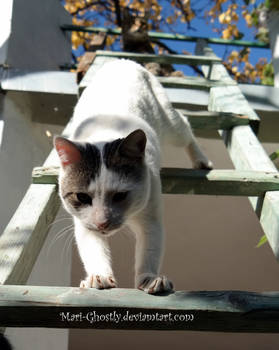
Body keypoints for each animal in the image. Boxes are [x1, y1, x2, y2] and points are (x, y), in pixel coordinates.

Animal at [54, 58, 212, 294]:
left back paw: (201, 160)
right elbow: (94, 250)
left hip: (170, 123)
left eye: (120, 195)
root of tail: (121, 60)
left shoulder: (151, 216)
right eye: (82, 197)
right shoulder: (83, 223)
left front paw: (150, 280)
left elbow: (149, 251)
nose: (102, 223)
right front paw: (99, 277)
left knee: (185, 127)